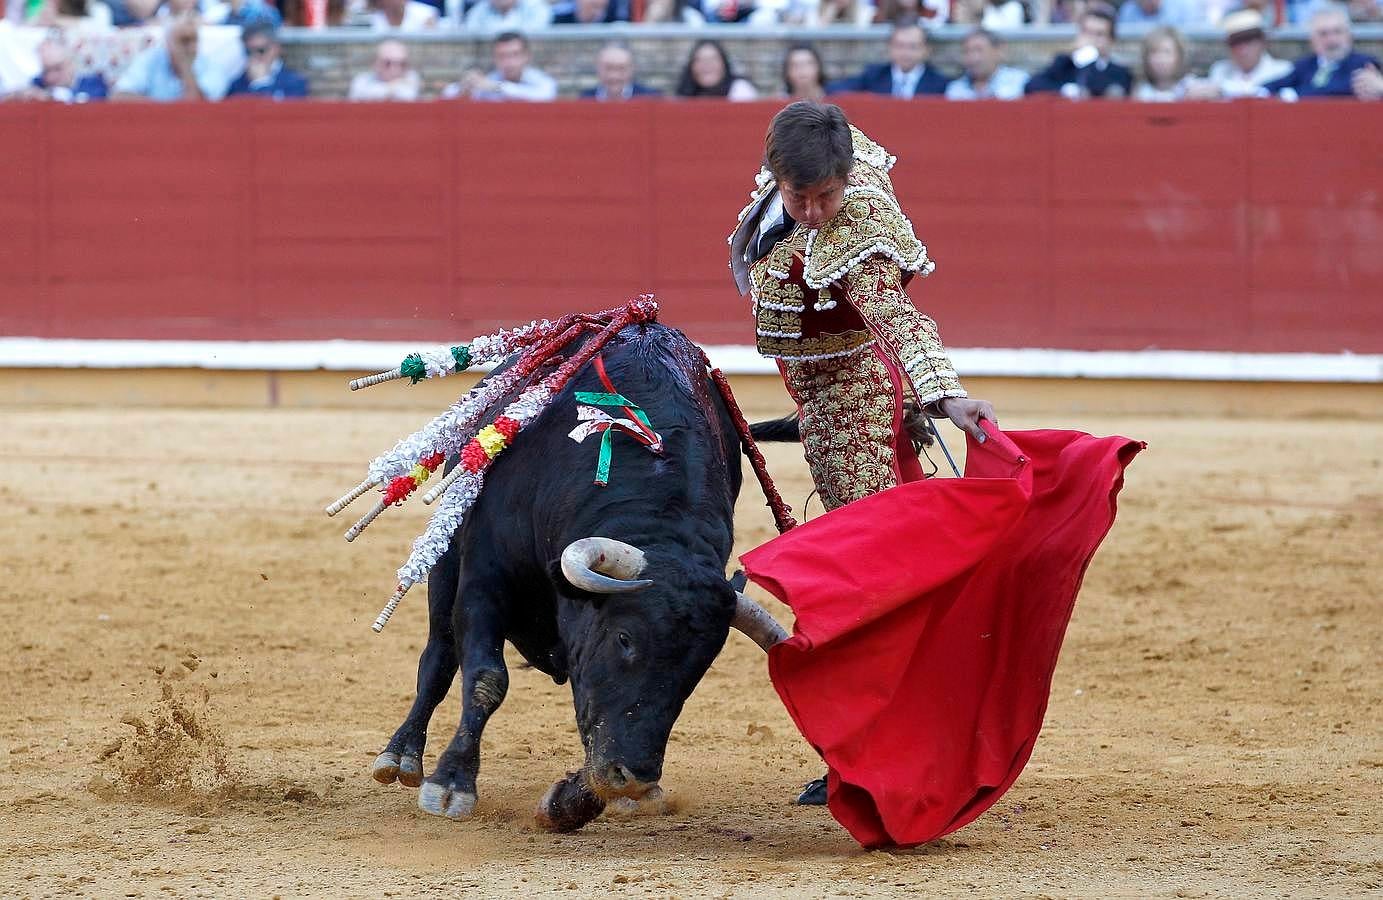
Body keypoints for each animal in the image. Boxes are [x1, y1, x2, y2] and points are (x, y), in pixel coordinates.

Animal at [373, 322, 796, 829]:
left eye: (701, 663)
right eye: (625, 638)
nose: (634, 776)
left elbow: (595, 717)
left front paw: (573, 802)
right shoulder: (485, 582)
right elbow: (486, 679)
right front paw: (452, 783)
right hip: (445, 563)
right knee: (439, 656)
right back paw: (401, 756)